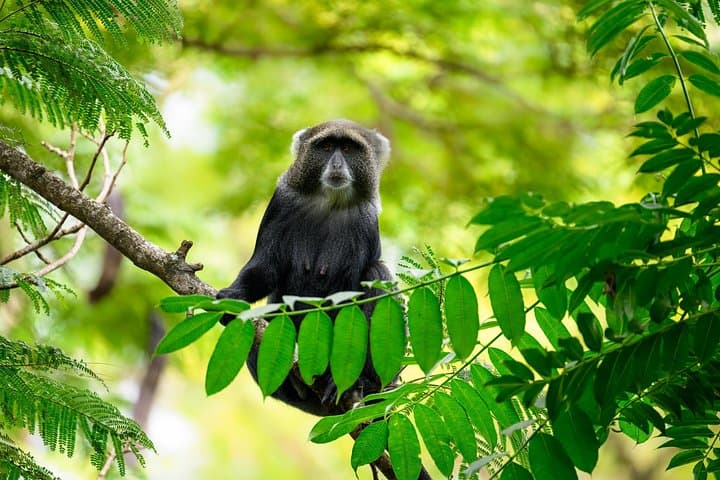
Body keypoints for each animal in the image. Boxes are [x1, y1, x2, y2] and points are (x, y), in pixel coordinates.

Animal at [216, 119, 392, 416]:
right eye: (326, 147)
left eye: (348, 148)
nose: (336, 164)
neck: (330, 202)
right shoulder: (282, 201)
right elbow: (264, 268)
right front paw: (233, 295)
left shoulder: (366, 221)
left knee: (376, 273)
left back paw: (359, 383)